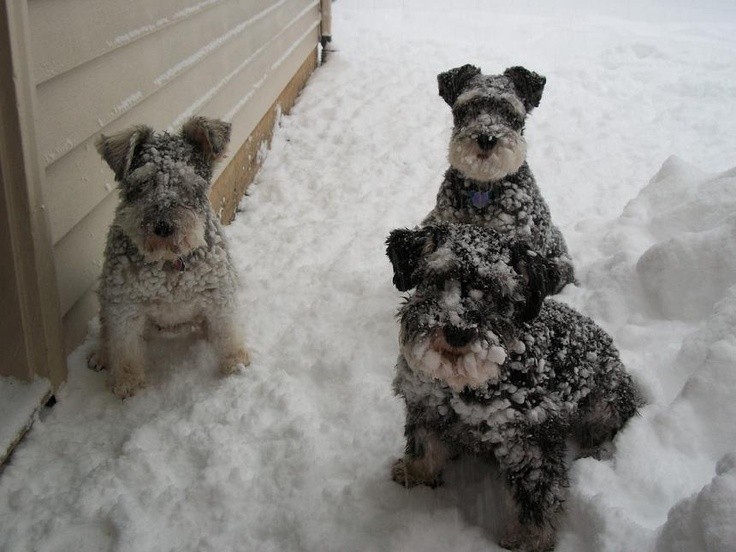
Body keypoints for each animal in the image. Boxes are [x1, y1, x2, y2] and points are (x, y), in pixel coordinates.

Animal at [89, 116, 249, 398]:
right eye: (142, 182)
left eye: (189, 184)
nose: (163, 227)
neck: (169, 264)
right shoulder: (123, 305)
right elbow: (124, 346)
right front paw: (127, 381)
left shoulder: (219, 293)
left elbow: (227, 331)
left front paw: (235, 362)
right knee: (107, 334)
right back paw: (101, 357)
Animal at [386, 224, 640, 552]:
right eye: (439, 279)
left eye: (497, 292)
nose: (458, 332)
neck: (462, 385)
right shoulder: (424, 406)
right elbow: (423, 446)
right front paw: (415, 475)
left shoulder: (530, 439)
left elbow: (534, 494)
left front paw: (528, 539)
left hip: (604, 404)